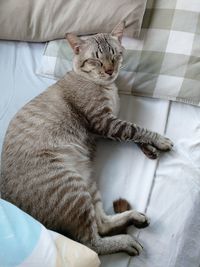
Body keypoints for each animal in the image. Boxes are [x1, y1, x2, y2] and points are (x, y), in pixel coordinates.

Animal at [0, 22, 173, 256]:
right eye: (96, 60)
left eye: (115, 55)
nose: (110, 71)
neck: (107, 87)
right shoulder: (105, 122)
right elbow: (137, 129)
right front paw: (159, 140)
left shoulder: (107, 127)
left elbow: (134, 133)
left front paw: (150, 149)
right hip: (72, 189)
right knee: (91, 243)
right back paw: (127, 242)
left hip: (87, 182)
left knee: (102, 224)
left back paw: (135, 218)